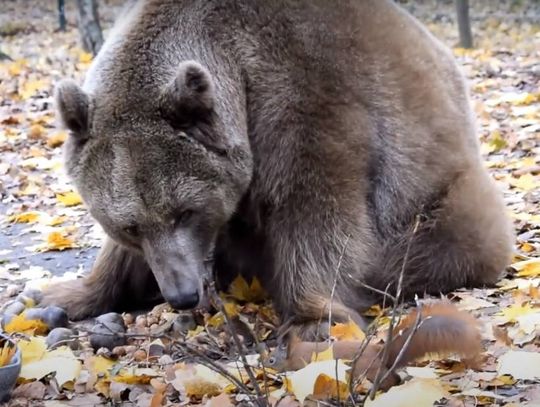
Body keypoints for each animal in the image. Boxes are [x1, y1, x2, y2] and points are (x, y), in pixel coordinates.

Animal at [42, 0, 510, 338]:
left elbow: (317, 209)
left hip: (438, 185)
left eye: (186, 211)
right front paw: (59, 296)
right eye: (129, 226)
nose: (182, 294)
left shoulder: (304, 97)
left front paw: (316, 319)